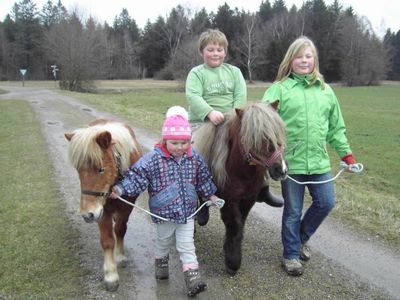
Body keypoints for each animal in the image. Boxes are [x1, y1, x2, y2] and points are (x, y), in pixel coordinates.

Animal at [64, 119, 142, 290]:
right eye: (78, 170)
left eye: (101, 169)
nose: (87, 214)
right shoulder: (102, 211)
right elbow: (107, 241)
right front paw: (111, 275)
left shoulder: (127, 206)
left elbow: (120, 230)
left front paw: (120, 256)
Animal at [192, 102, 286, 276]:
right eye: (255, 138)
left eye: (278, 133)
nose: (281, 170)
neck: (242, 173)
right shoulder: (229, 200)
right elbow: (234, 225)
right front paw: (233, 262)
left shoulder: (249, 199)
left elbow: (241, 222)